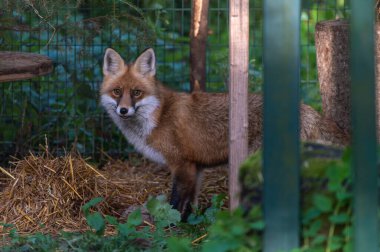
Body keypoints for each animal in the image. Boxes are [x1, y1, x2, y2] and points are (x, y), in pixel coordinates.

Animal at [101, 48, 350, 220]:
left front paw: (169, 228)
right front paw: (188, 224)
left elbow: (175, 203)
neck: (158, 116)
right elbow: (189, 204)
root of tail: (308, 109)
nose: (123, 110)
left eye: (136, 92)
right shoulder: (196, 168)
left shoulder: (182, 166)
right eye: (117, 92)